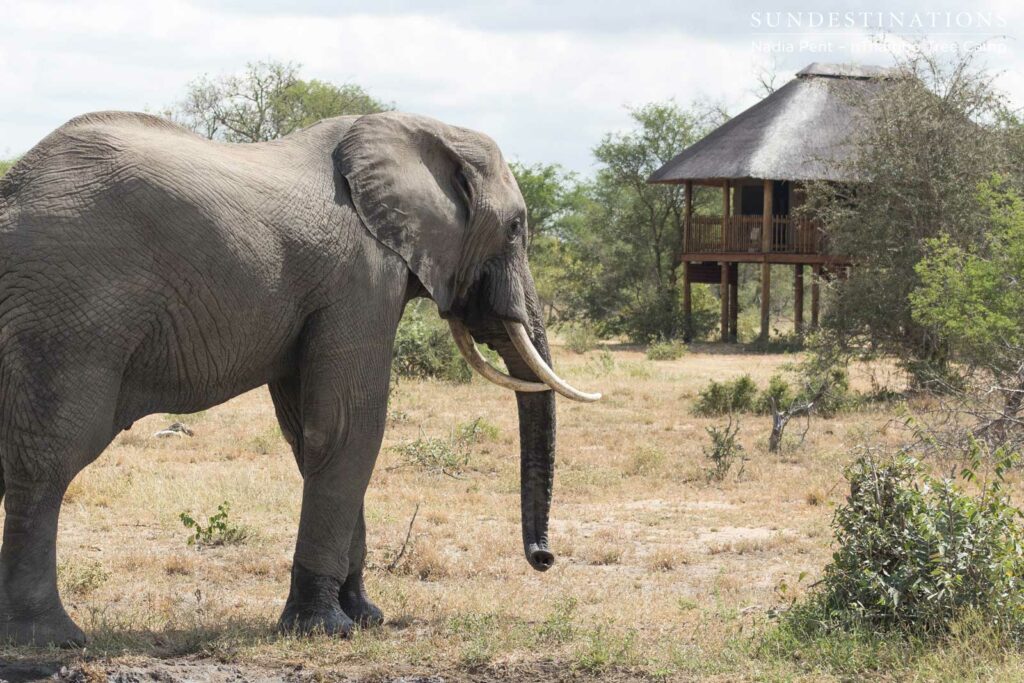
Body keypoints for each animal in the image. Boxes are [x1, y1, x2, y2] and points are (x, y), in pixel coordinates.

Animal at [0, 110, 600, 646]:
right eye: (517, 228)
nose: (544, 558)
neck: (421, 128)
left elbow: (307, 436)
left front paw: (365, 617)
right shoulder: (361, 278)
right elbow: (348, 428)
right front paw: (326, 629)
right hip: (68, 311)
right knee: (49, 460)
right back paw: (52, 640)